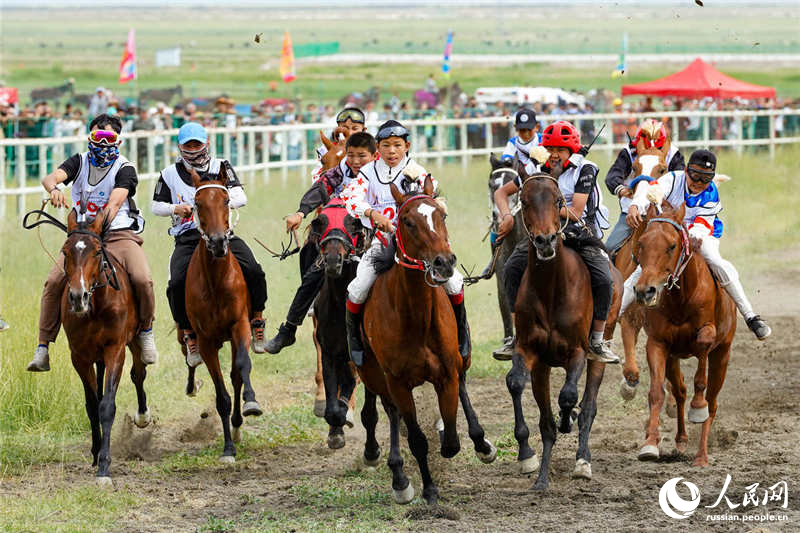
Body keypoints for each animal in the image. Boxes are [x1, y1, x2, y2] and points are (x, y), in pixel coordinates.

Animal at [61, 205, 151, 486]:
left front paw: (104, 468)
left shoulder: (115, 349)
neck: (97, 304)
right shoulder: (79, 356)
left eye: (97, 252)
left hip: (132, 342)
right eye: (65, 252)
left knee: (138, 374)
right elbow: (92, 404)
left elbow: (107, 406)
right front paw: (96, 452)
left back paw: (142, 416)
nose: (78, 297)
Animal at [187, 166, 262, 462]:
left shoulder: (239, 325)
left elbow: (242, 367)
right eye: (197, 204)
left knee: (236, 374)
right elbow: (221, 396)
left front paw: (251, 402)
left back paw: (239, 423)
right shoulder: (207, 341)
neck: (216, 282)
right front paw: (228, 449)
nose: (219, 242)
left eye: (227, 200)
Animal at [356, 177, 494, 504]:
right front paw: (427, 489)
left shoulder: (447, 373)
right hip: (374, 375)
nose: (443, 262)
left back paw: (481, 443)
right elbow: (417, 439)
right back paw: (399, 477)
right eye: (407, 221)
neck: (415, 318)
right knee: (391, 412)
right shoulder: (396, 382)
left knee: (464, 387)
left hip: (462, 358)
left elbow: (452, 439)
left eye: (441, 215)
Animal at [506, 172, 624, 488]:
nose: (545, 241)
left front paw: (567, 419)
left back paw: (582, 460)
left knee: (589, 406)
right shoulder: (531, 353)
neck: (551, 288)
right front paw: (534, 467)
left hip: (600, 348)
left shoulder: (577, 352)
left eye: (558, 200)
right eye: (524, 201)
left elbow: (569, 396)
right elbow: (517, 385)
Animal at [632, 201, 736, 466]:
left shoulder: (707, 336)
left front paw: (697, 407)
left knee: (712, 403)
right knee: (679, 392)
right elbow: (657, 392)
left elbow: (701, 370)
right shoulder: (658, 344)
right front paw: (650, 444)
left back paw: (701, 455)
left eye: (671, 245)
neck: (681, 297)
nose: (645, 291)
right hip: (673, 357)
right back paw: (680, 440)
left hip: (722, 355)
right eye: (642, 243)